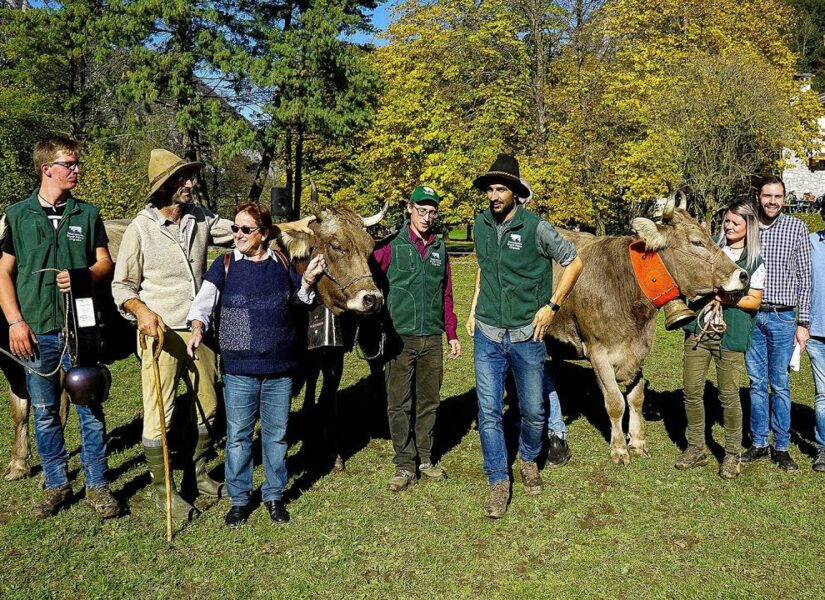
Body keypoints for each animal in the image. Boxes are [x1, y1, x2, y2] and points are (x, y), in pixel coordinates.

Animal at [546, 194, 749, 465]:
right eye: (697, 242)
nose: (743, 275)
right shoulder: (597, 351)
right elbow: (615, 402)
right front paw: (619, 449)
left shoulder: (640, 349)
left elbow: (636, 397)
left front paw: (638, 442)